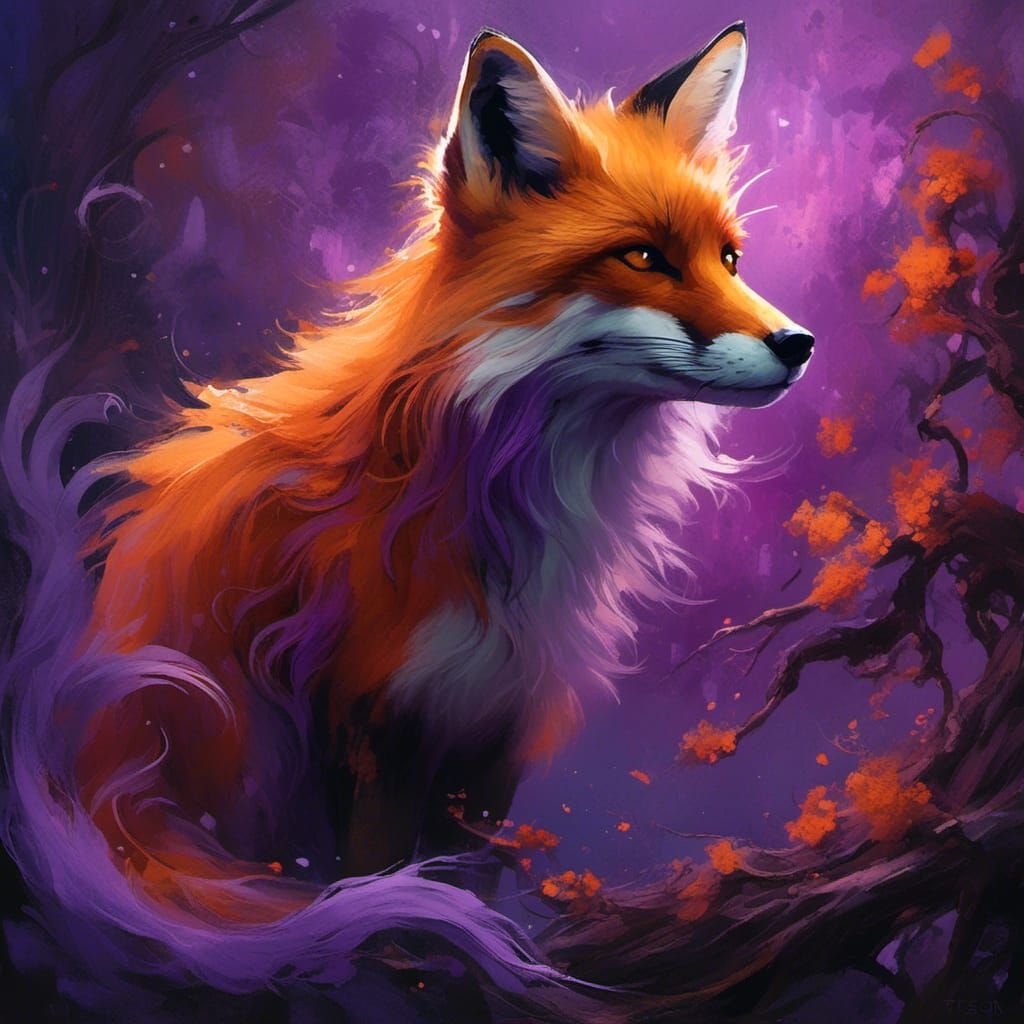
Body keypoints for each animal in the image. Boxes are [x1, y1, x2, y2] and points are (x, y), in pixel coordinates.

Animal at [81, 22, 813, 903]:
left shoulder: (497, 729)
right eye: (642, 258)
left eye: (729, 260)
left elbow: (465, 884)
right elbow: (382, 892)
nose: (800, 344)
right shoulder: (381, 725)